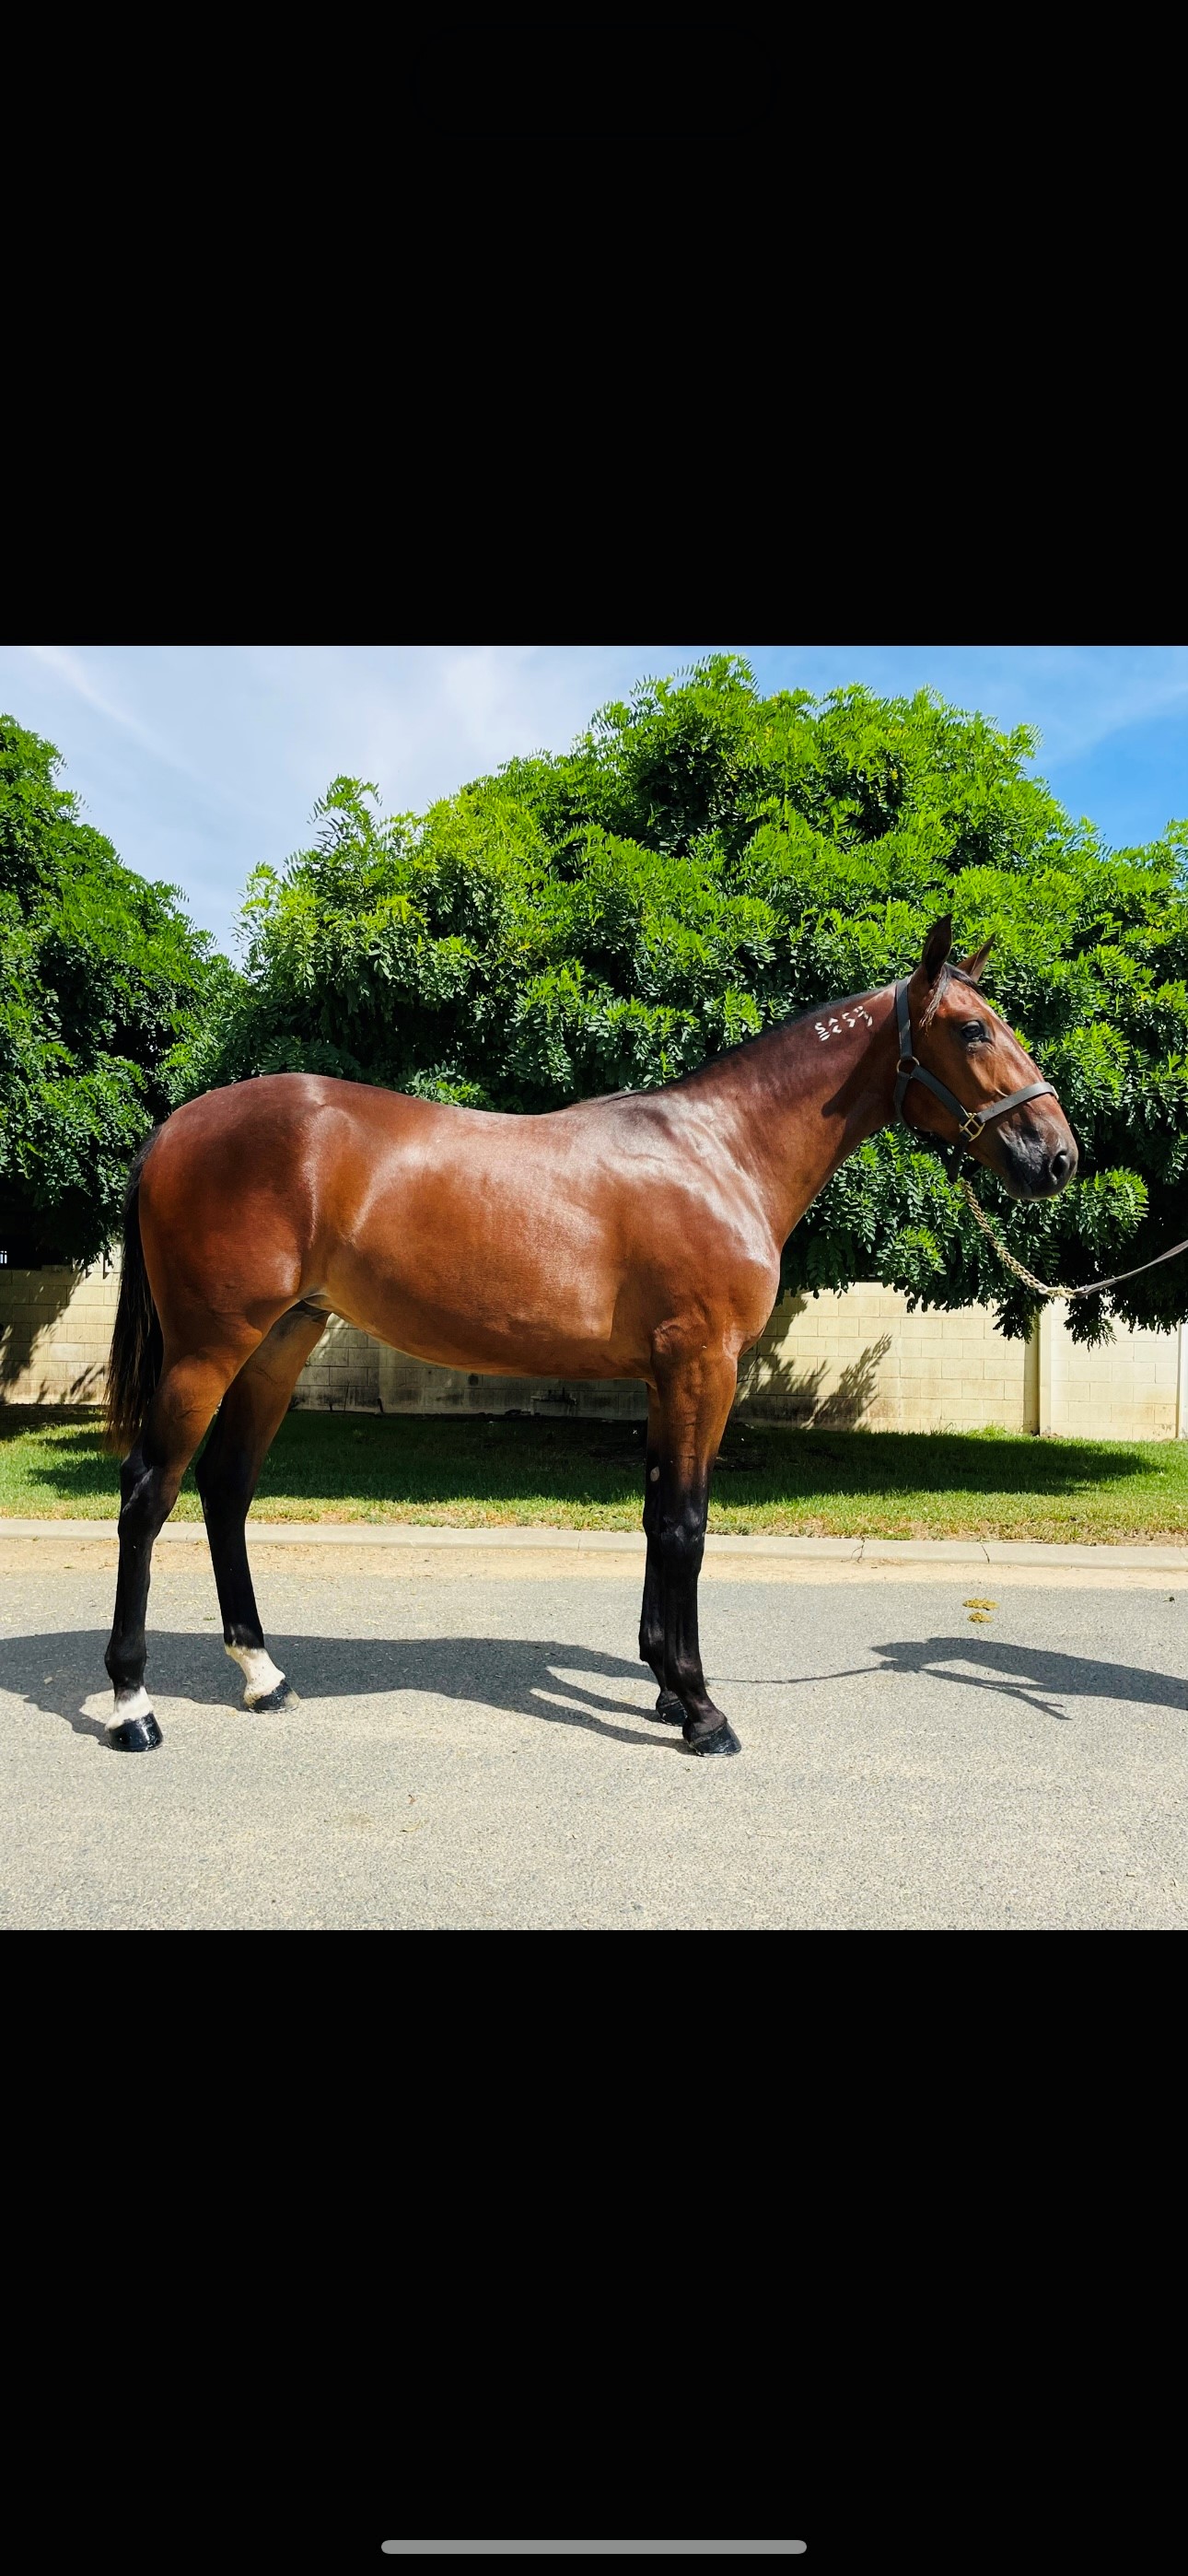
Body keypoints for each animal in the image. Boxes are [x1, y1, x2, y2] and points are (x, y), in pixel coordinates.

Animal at [102, 914, 1077, 1757]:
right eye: (972, 1030)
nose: (1058, 1155)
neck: (719, 1152)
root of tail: (176, 1125)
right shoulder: (703, 1366)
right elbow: (685, 1524)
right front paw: (703, 1711)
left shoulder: (665, 1377)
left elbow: (653, 1514)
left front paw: (665, 1685)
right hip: (208, 1351)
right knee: (148, 1494)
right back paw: (132, 1706)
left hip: (279, 1345)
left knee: (225, 1490)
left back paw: (263, 1676)